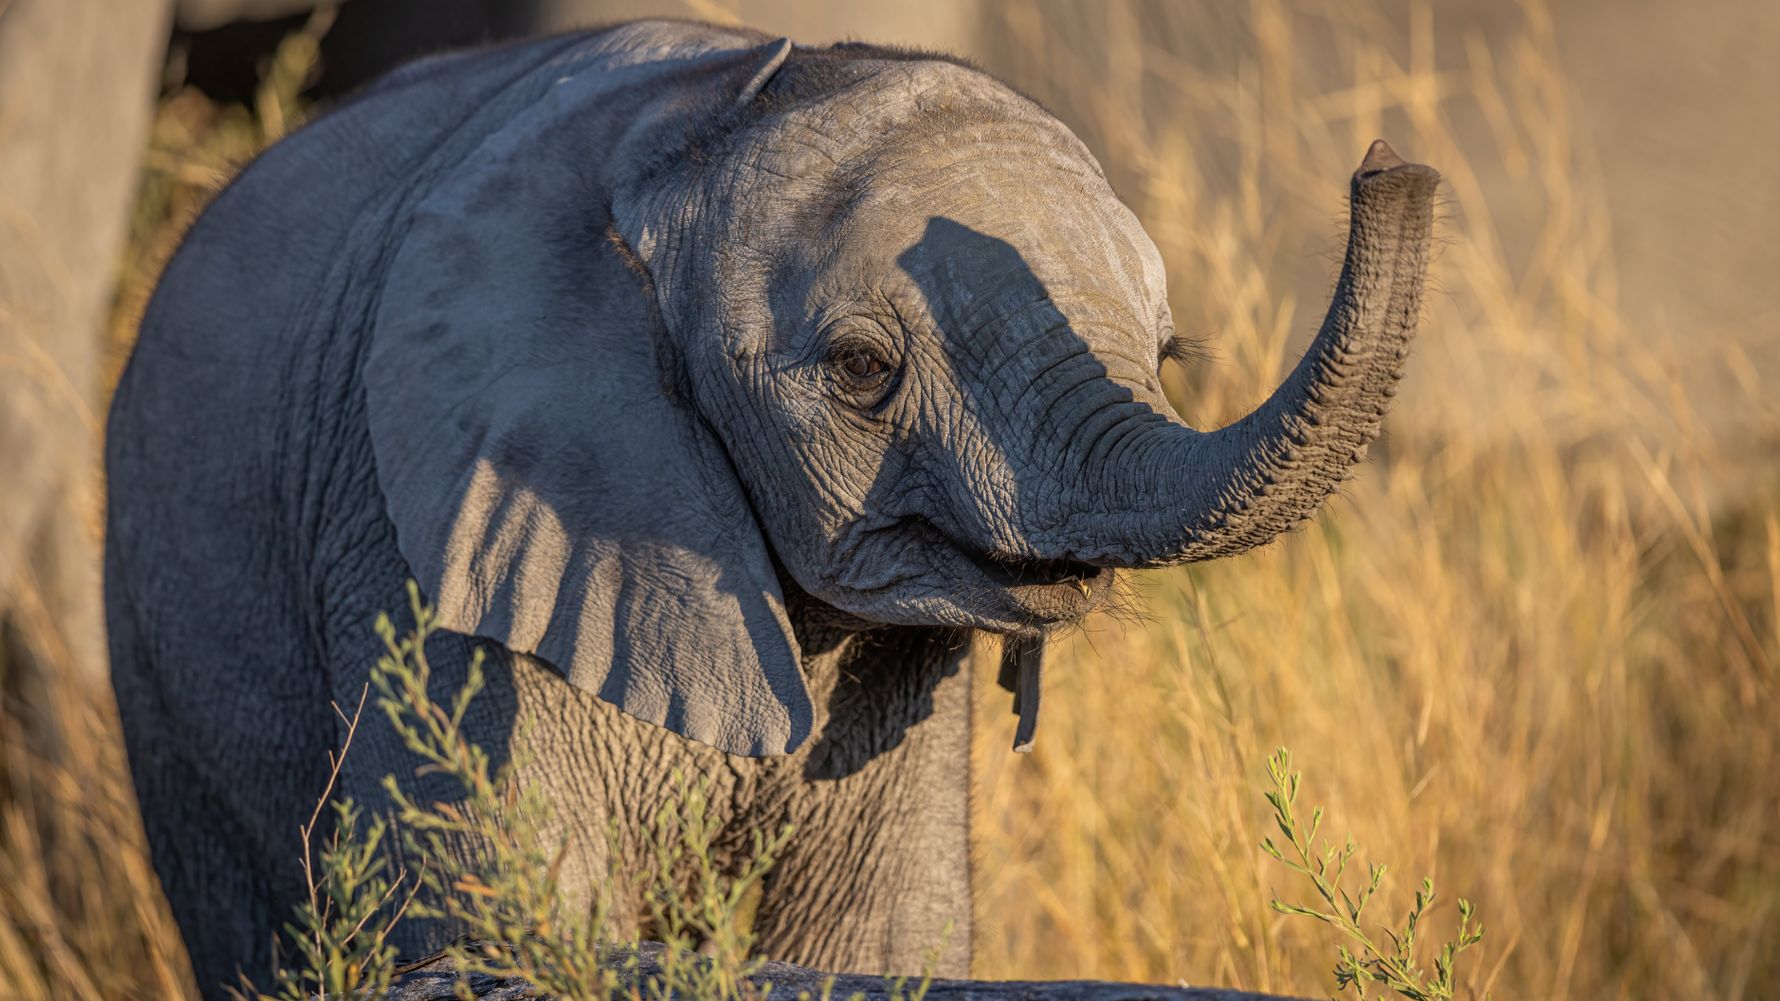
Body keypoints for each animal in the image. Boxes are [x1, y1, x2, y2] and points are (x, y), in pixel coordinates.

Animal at [102, 18, 1438, 997]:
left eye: (1166, 353)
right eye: (861, 368)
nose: (1392, 160)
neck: (696, 125)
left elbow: (882, 937)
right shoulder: (427, 530)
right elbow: (502, 929)